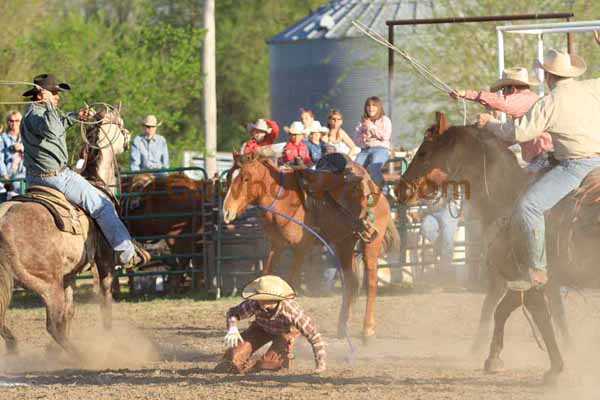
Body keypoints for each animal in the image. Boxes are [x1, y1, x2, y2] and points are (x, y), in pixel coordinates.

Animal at [220, 152, 398, 342]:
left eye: (245, 178)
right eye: (229, 177)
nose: (226, 212)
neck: (285, 199)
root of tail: (379, 193)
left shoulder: (301, 248)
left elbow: (290, 282)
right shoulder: (276, 245)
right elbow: (266, 275)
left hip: (371, 243)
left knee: (371, 282)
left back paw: (367, 330)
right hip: (345, 244)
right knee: (350, 282)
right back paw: (342, 328)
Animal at [394, 111, 596, 382]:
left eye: (424, 152)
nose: (400, 189)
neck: (508, 196)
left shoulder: (529, 279)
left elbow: (540, 319)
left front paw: (555, 368)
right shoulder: (525, 281)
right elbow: (503, 311)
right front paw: (493, 358)